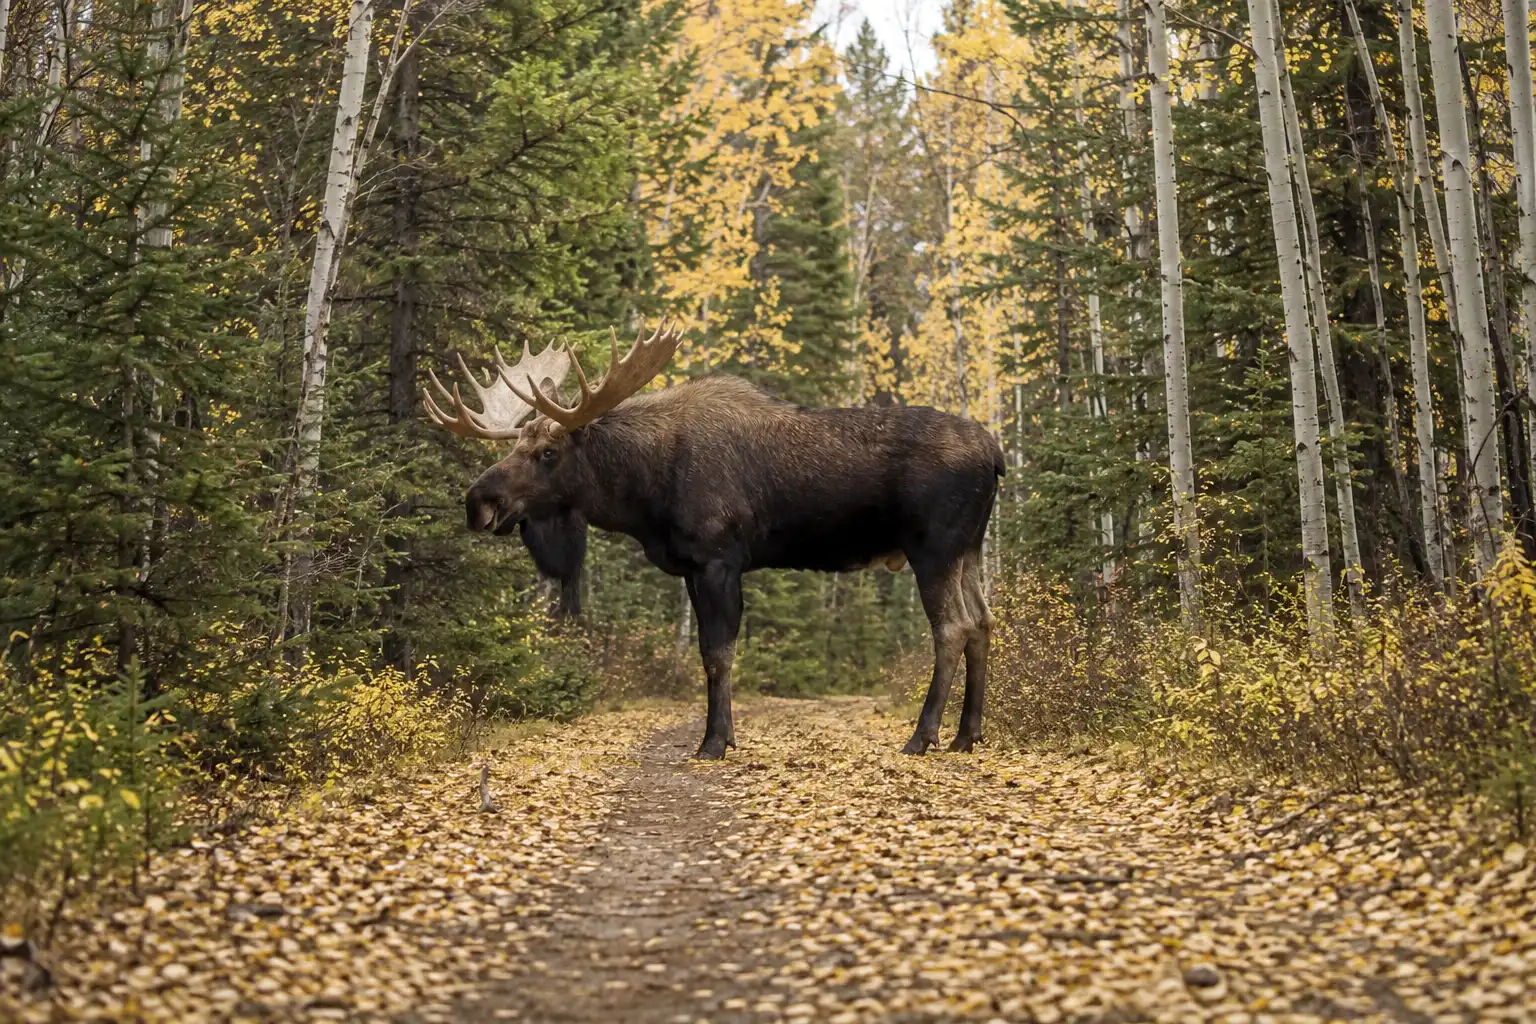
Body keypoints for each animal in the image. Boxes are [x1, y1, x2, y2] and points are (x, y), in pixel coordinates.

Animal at [425, 323, 1003, 759]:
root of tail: (996, 455)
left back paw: (923, 736)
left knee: (952, 627)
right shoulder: (689, 568)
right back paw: (967, 735)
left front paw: (714, 742)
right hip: (970, 548)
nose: (479, 502)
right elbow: (710, 652)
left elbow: (717, 655)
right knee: (982, 622)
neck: (644, 492)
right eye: (515, 445)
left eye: (547, 452)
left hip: (933, 548)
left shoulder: (718, 559)